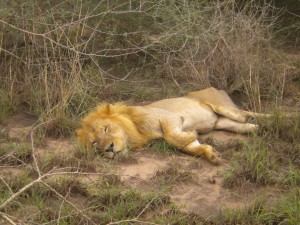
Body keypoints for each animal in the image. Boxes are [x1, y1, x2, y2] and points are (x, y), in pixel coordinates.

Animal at [76, 87, 262, 163]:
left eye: (106, 128)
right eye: (94, 143)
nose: (109, 148)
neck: (136, 131)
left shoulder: (170, 117)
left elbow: (171, 137)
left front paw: (192, 133)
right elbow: (189, 146)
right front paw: (211, 153)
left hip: (226, 108)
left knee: (247, 114)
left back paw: (268, 122)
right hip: (223, 122)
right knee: (245, 125)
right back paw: (258, 130)